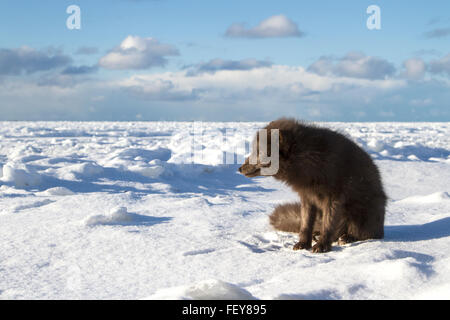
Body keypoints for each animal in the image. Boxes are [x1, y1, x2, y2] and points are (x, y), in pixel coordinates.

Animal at [239, 117, 386, 252]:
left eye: (259, 152)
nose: (239, 169)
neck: (308, 159)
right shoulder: (307, 197)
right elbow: (305, 224)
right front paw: (303, 243)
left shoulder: (333, 198)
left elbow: (328, 224)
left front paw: (322, 246)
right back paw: (319, 235)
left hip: (361, 213)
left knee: (365, 233)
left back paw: (348, 237)